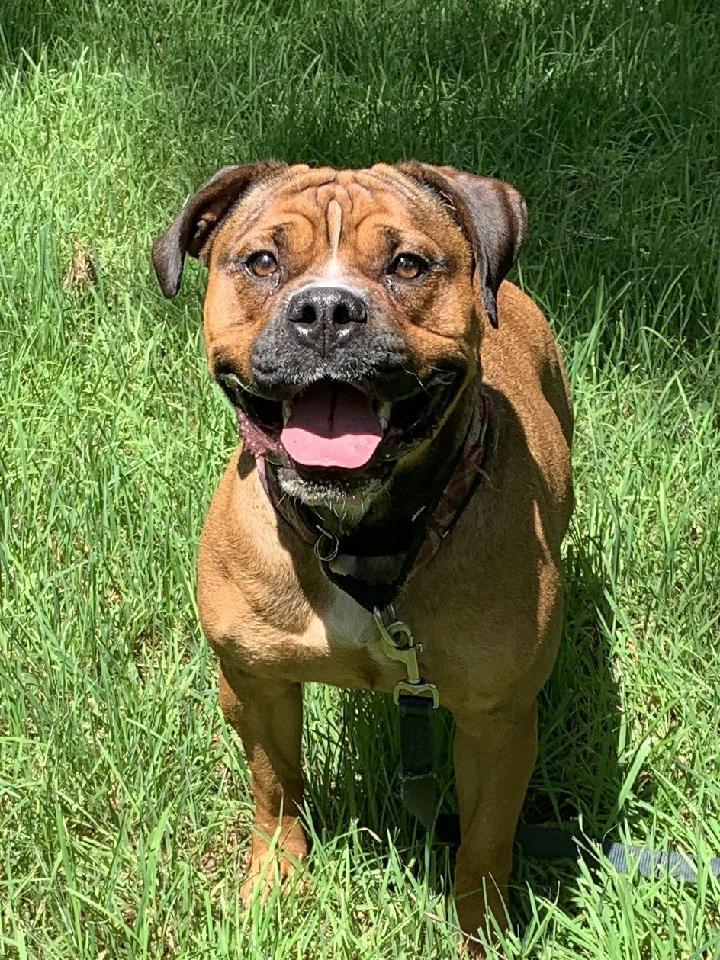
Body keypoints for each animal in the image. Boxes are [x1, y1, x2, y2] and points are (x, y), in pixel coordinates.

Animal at [152, 159, 572, 944]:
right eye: (262, 261)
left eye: (407, 265)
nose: (325, 310)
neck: (361, 538)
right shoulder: (257, 686)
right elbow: (277, 791)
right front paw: (274, 883)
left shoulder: (496, 723)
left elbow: (484, 843)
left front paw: (482, 931)